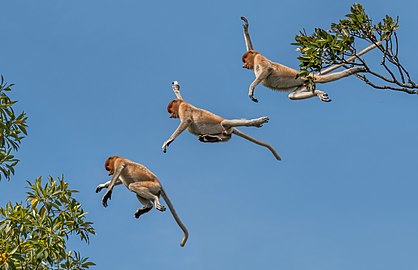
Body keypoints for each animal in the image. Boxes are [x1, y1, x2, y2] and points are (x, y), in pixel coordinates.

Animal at [240, 16, 368, 103]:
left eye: (245, 61)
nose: (244, 66)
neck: (254, 60)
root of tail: (307, 75)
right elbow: (251, 47)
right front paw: (246, 28)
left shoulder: (259, 58)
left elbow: (267, 69)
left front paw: (251, 90)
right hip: (304, 84)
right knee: (292, 96)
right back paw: (318, 93)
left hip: (305, 80)